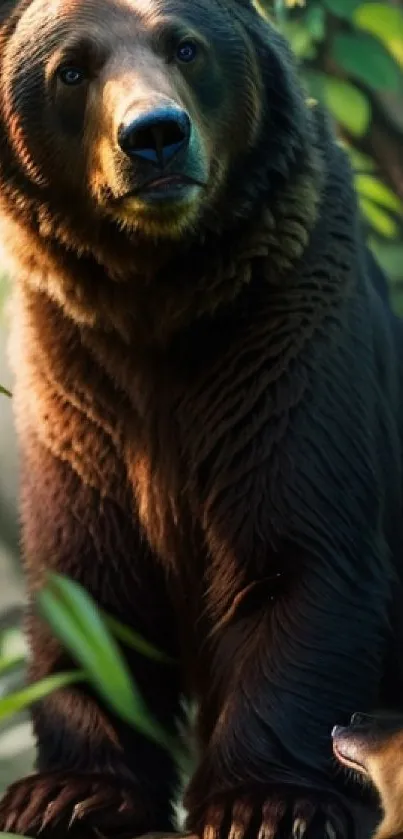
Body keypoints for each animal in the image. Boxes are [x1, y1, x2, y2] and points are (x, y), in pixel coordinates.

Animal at [0, 0, 403, 836]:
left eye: (184, 46)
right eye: (71, 69)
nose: (154, 134)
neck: (155, 292)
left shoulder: (280, 335)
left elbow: (294, 553)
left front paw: (263, 801)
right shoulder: (75, 382)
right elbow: (93, 584)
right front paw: (68, 789)